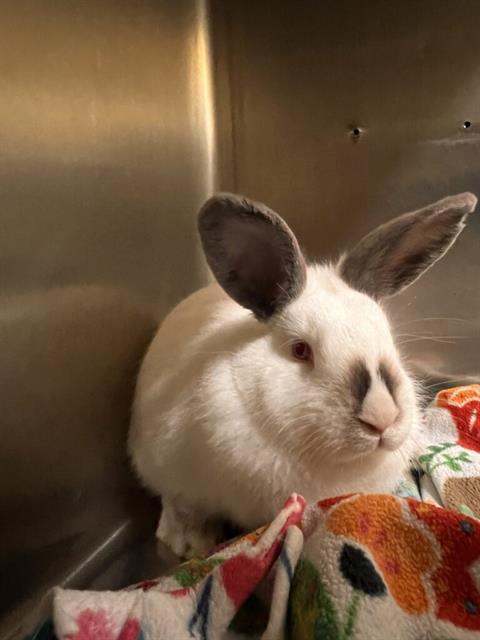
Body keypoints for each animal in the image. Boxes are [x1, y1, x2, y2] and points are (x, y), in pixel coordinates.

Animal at [129, 191, 477, 557]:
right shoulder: (176, 470)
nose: (382, 417)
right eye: (300, 350)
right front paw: (189, 544)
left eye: (388, 338)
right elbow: (184, 506)